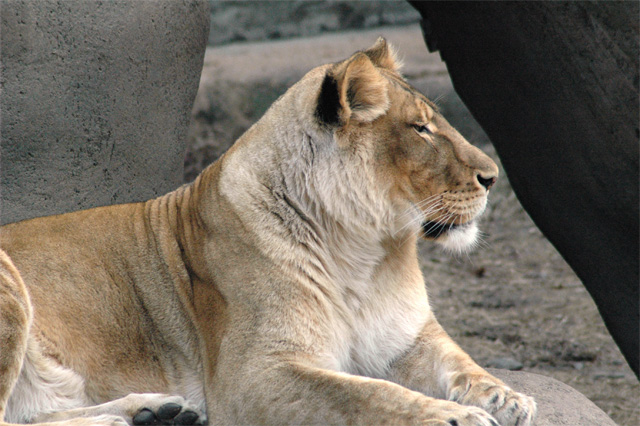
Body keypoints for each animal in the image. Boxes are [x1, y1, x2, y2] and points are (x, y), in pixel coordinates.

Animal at [0, 39, 535, 425]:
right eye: (421, 130)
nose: (493, 176)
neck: (364, 253)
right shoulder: (252, 375)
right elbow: (364, 394)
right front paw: (454, 416)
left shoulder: (408, 337)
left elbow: (460, 363)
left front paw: (508, 398)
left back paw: (154, 411)